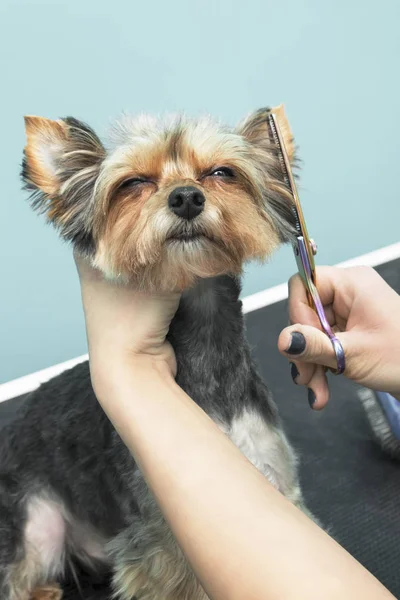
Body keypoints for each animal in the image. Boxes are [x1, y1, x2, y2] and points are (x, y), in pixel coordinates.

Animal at [0, 109, 312, 600]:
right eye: (133, 183)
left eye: (221, 173)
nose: (185, 197)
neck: (206, 347)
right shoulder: (161, 545)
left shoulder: (274, 482)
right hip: (35, 524)